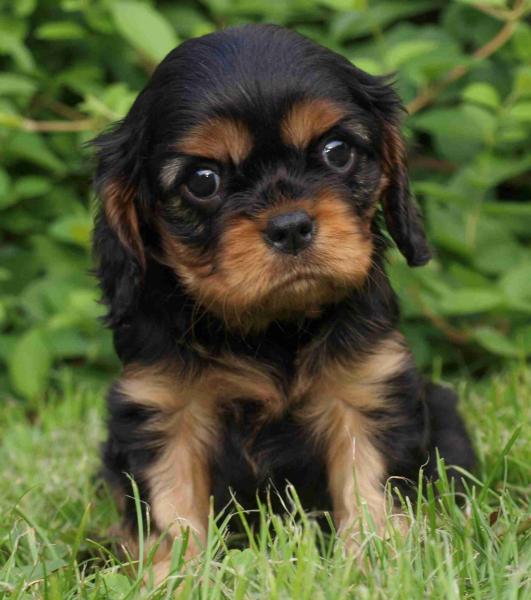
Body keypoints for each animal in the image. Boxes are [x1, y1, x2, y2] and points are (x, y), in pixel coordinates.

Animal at [93, 24, 475, 578]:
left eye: (337, 151)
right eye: (203, 180)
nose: (290, 225)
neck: (272, 327)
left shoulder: (366, 391)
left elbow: (369, 487)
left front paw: (375, 564)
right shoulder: (162, 409)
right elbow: (171, 507)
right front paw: (176, 576)